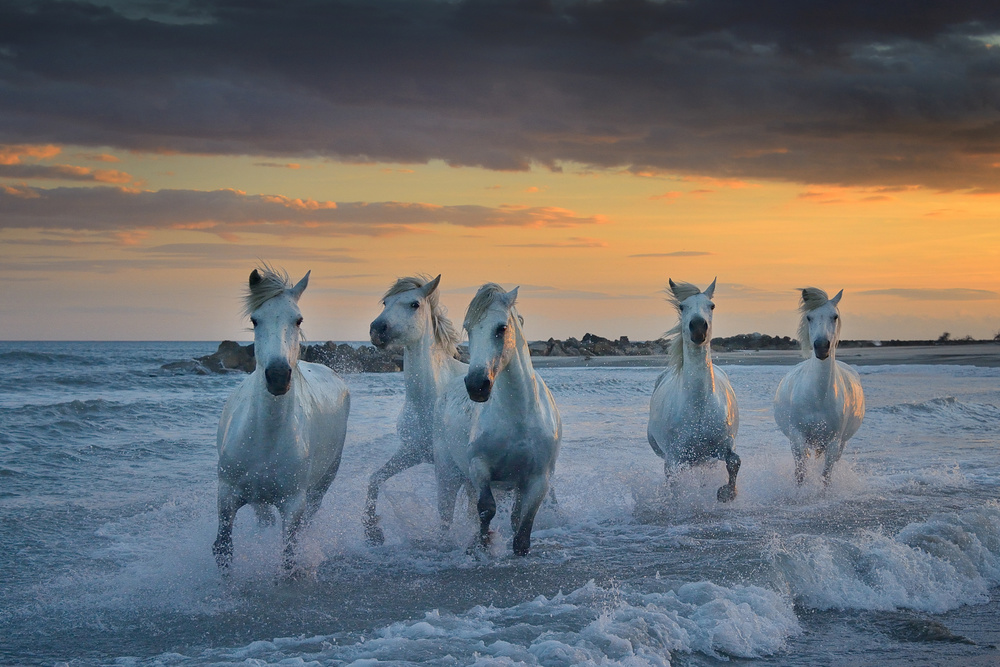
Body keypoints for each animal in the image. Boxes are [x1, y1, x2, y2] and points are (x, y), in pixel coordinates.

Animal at [213, 268, 350, 572]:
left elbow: (288, 558)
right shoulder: (227, 496)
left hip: (320, 488)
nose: (277, 376)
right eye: (255, 319)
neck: (266, 437)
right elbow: (223, 551)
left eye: (298, 319)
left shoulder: (293, 504)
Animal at [364, 274, 464, 544]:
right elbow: (374, 478)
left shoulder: (449, 468)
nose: (377, 330)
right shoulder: (411, 452)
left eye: (414, 304)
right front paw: (373, 532)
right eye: (385, 302)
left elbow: (447, 512)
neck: (428, 403)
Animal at [436, 284, 564, 556]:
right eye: (469, 328)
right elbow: (486, 510)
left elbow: (522, 529)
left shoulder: (538, 480)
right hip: (447, 474)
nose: (477, 385)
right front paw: (482, 547)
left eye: (501, 328)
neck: (519, 418)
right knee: (446, 514)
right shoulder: (479, 467)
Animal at [644, 276, 740, 500]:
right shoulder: (674, 459)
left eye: (711, 305)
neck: (698, 407)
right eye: (682, 306)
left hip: (705, 460)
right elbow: (675, 484)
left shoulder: (725, 446)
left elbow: (734, 462)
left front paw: (727, 493)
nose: (698, 327)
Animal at [772, 288, 868, 486]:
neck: (817, 397)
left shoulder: (832, 443)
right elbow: (800, 474)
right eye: (809, 317)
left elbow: (825, 477)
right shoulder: (797, 438)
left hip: (837, 444)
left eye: (835, 316)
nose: (822, 347)